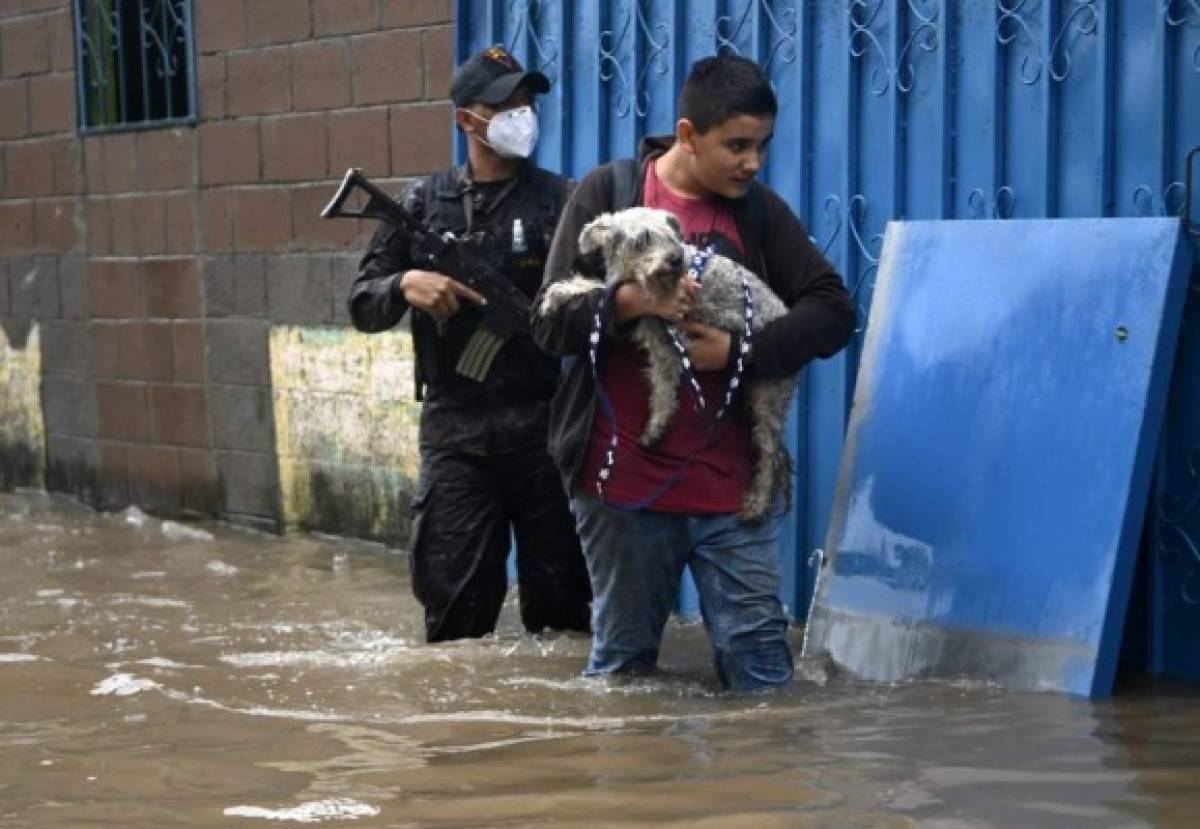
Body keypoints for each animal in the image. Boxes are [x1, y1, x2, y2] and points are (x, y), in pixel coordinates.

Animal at [540, 206, 792, 518]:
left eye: (672, 235)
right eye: (641, 240)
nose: (675, 259)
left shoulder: (667, 341)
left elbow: (663, 391)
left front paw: (655, 428)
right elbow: (596, 288)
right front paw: (557, 294)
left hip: (769, 396)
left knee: (769, 453)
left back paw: (757, 502)